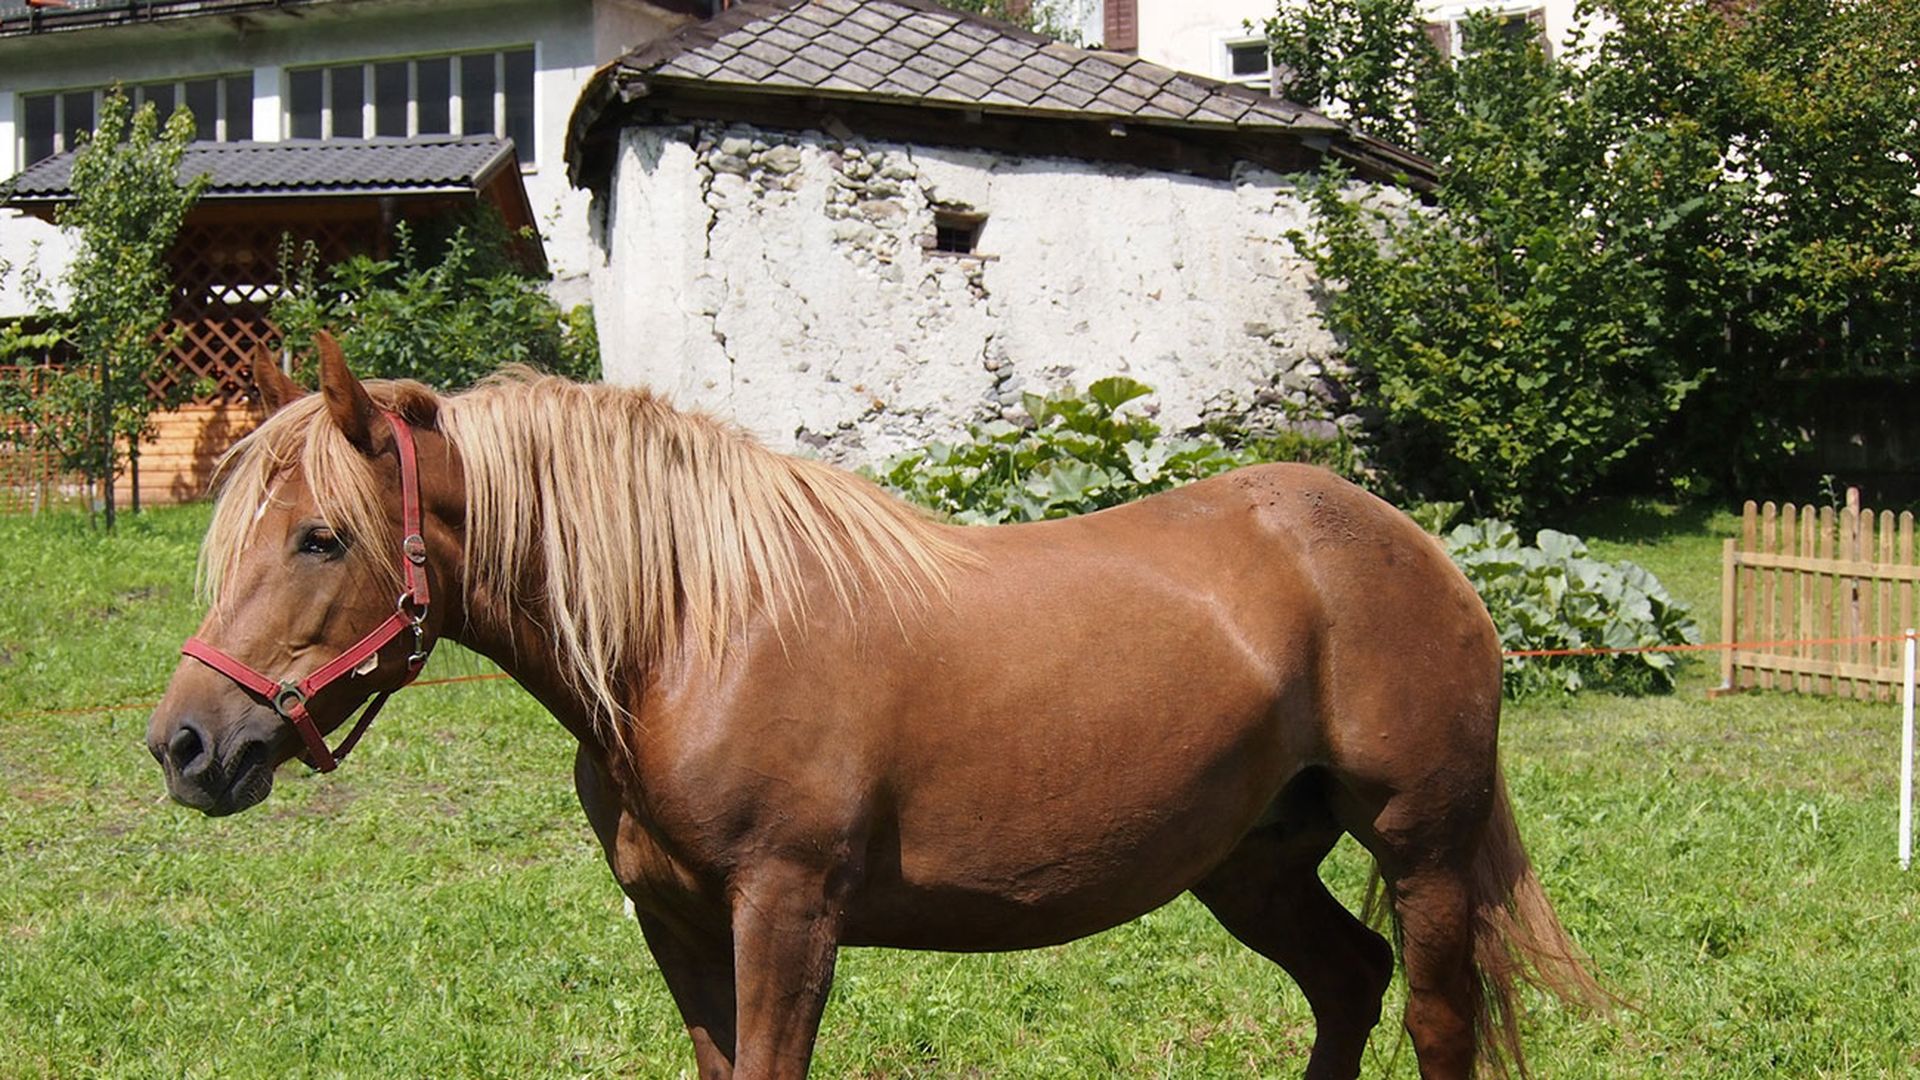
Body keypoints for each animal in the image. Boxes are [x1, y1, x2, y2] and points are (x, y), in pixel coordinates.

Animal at [147, 336, 1604, 1079]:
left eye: (323, 537)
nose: (188, 744)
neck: (692, 633)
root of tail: (1411, 546)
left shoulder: (787, 915)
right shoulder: (680, 926)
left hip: (1420, 850)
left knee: (1432, 1020)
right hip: (1250, 865)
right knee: (1348, 988)